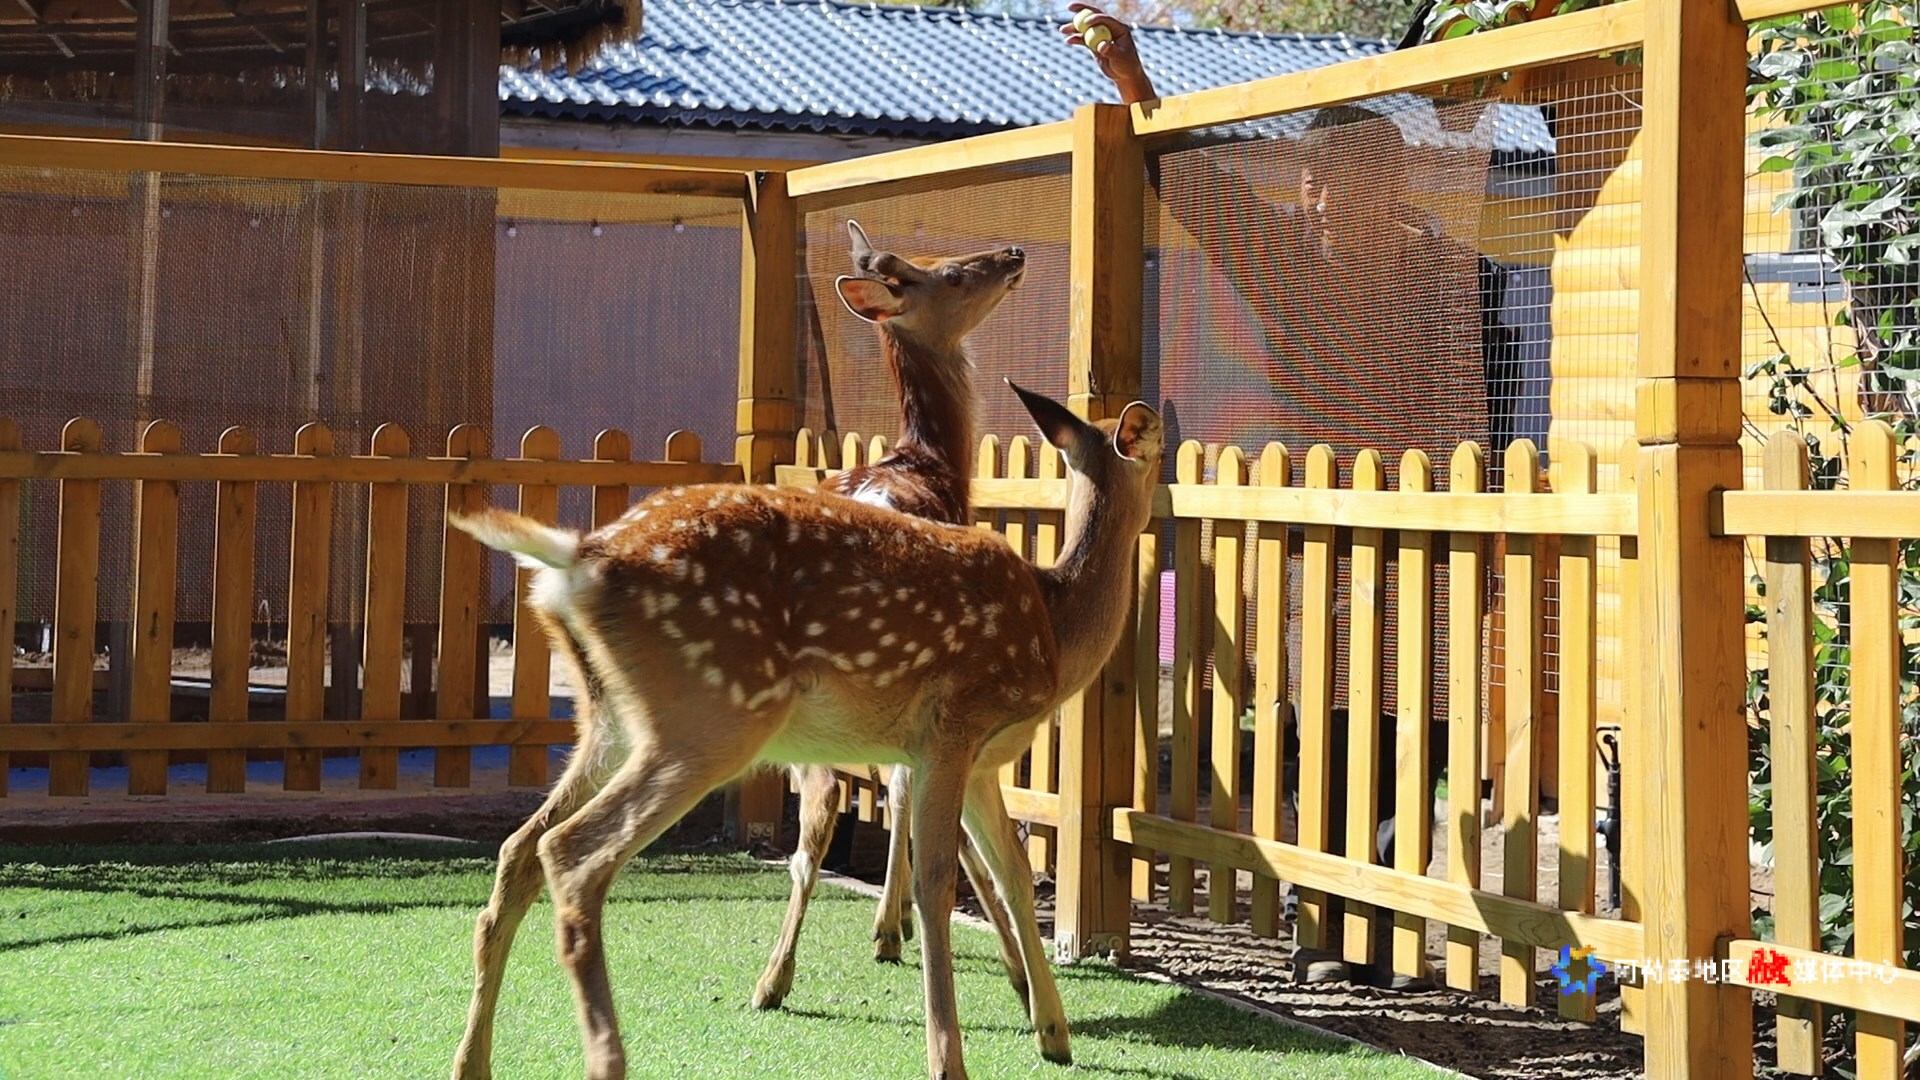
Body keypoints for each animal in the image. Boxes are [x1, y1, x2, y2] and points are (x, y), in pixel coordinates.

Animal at [448, 382, 1163, 1080]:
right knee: (572, 853)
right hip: (713, 714)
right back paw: (607, 1059)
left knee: (519, 848)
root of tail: (580, 559)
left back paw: (472, 1061)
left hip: (609, 721)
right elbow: (936, 884)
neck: (1055, 632)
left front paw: (1054, 1034)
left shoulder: (983, 760)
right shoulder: (953, 729)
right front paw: (949, 1058)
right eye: (1157, 438)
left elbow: (1013, 877)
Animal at [758, 220, 1028, 1018]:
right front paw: (892, 925)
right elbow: (907, 786)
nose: (1012, 254)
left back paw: (773, 977)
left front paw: (894, 919)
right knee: (840, 797)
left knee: (814, 808)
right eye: (951, 275)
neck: (932, 464)